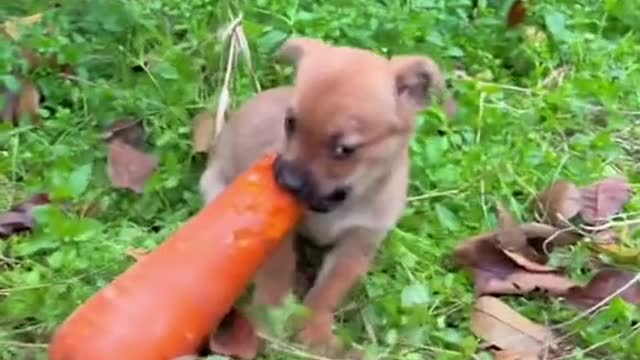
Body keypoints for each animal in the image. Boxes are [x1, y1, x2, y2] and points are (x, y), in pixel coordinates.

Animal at [200, 38, 456, 356]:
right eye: (290, 123)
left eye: (344, 150)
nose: (286, 181)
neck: (338, 206)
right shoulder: (280, 234)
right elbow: (278, 271)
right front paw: (272, 318)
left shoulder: (357, 244)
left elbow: (328, 290)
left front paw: (314, 332)